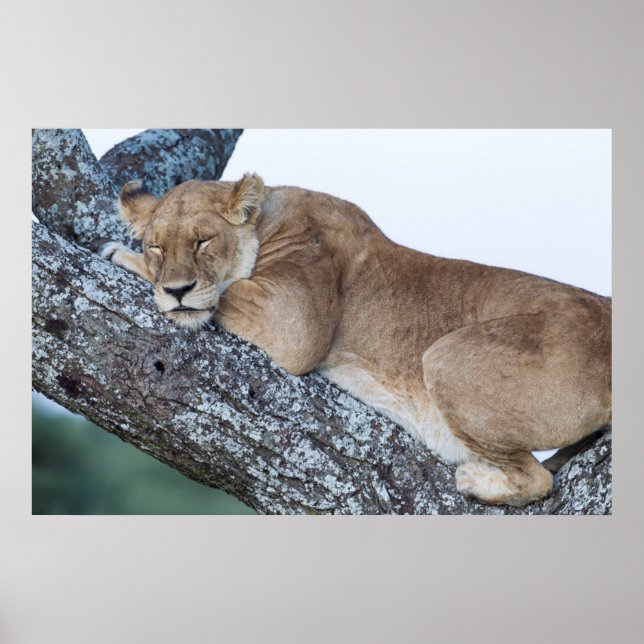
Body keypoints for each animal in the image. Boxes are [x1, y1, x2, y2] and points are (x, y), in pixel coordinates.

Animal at [99, 174, 612, 507]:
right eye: (158, 245)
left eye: (204, 241)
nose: (177, 289)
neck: (268, 219)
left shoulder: (295, 320)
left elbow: (225, 290)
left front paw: (123, 258)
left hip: (445, 356)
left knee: (538, 479)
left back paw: (476, 481)